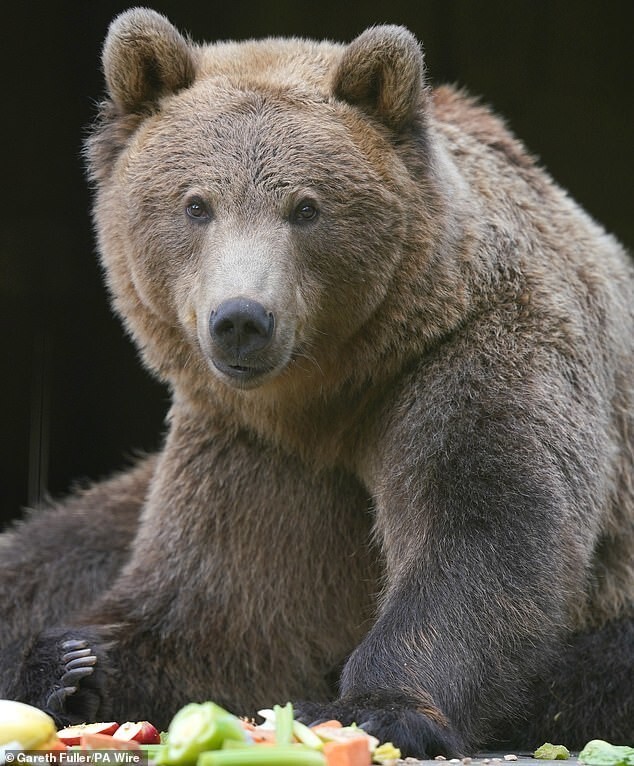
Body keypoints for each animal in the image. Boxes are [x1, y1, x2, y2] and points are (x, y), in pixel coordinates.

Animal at [1, 7, 632, 760]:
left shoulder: (470, 351)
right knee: (47, 552)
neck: (330, 395)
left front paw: (379, 707)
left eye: (306, 207)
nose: (241, 319)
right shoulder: (255, 446)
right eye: (196, 204)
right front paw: (69, 666)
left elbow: (481, 527)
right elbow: (230, 604)